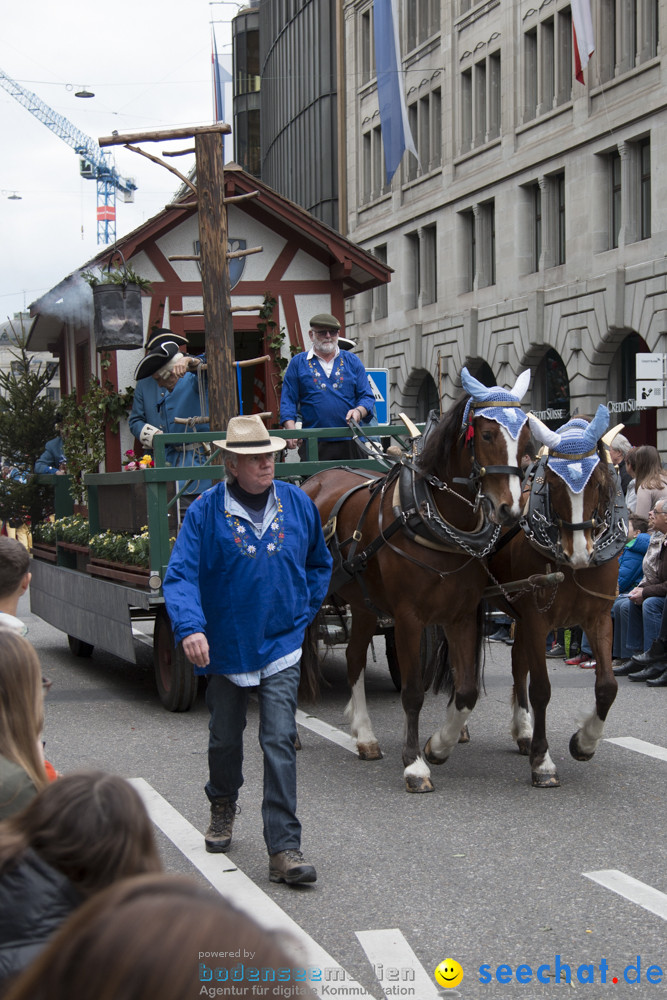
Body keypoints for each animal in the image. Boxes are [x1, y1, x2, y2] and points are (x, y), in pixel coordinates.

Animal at [306, 368, 536, 788]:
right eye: (487, 434)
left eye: (527, 437)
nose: (510, 510)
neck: (431, 515)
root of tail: (315, 479)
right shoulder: (409, 618)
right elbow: (413, 692)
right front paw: (414, 764)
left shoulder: (460, 615)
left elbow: (466, 690)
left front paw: (440, 745)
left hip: (364, 603)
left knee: (353, 657)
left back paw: (365, 736)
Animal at [486, 406, 628, 788]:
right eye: (551, 483)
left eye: (598, 482)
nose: (578, 552)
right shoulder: (537, 619)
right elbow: (542, 690)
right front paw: (542, 762)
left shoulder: (598, 616)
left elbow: (607, 685)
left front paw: (585, 742)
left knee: (517, 662)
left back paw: (522, 731)